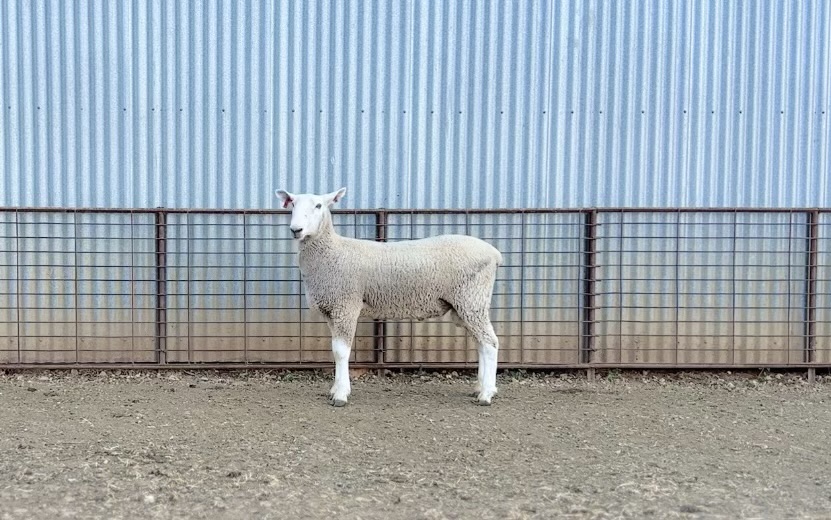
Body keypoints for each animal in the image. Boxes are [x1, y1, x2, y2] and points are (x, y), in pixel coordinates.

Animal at [275, 187, 503, 407]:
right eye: (292, 204)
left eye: (319, 205)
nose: (296, 230)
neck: (332, 251)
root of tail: (495, 253)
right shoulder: (333, 310)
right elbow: (335, 351)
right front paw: (335, 389)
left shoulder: (346, 306)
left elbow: (340, 352)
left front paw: (340, 395)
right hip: (466, 306)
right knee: (481, 343)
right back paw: (480, 388)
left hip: (471, 299)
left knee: (490, 343)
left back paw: (486, 394)